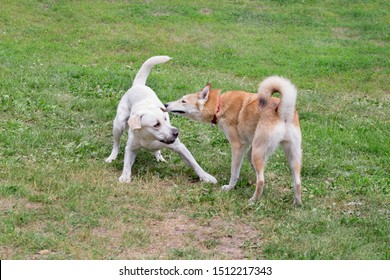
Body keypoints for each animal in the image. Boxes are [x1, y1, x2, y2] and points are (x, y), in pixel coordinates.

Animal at [105, 56, 218, 185]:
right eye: (156, 125)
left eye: (165, 119)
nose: (176, 132)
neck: (150, 139)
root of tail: (138, 85)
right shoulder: (131, 148)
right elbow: (127, 162)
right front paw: (125, 175)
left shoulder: (180, 147)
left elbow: (194, 163)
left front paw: (205, 176)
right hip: (118, 125)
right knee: (116, 144)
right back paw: (112, 157)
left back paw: (159, 156)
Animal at [165, 76, 302, 206]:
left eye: (183, 101)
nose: (166, 104)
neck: (219, 105)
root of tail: (282, 111)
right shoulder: (247, 147)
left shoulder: (237, 146)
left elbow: (234, 172)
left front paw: (230, 187)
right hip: (289, 155)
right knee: (297, 182)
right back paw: (297, 203)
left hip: (257, 152)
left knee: (261, 180)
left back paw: (253, 200)